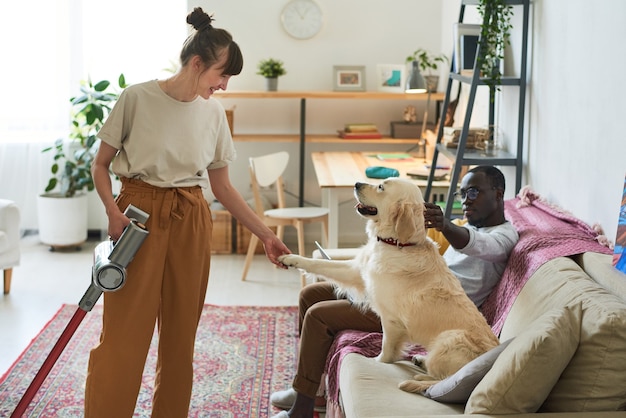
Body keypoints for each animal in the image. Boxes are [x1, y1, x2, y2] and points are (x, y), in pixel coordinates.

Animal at [278, 178, 498, 394]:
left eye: (381, 186)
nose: (356, 184)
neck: (396, 243)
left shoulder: (391, 320)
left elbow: (386, 349)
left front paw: (378, 362)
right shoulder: (357, 270)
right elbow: (319, 263)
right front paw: (291, 258)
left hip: (449, 339)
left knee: (444, 381)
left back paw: (420, 377)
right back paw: (421, 361)